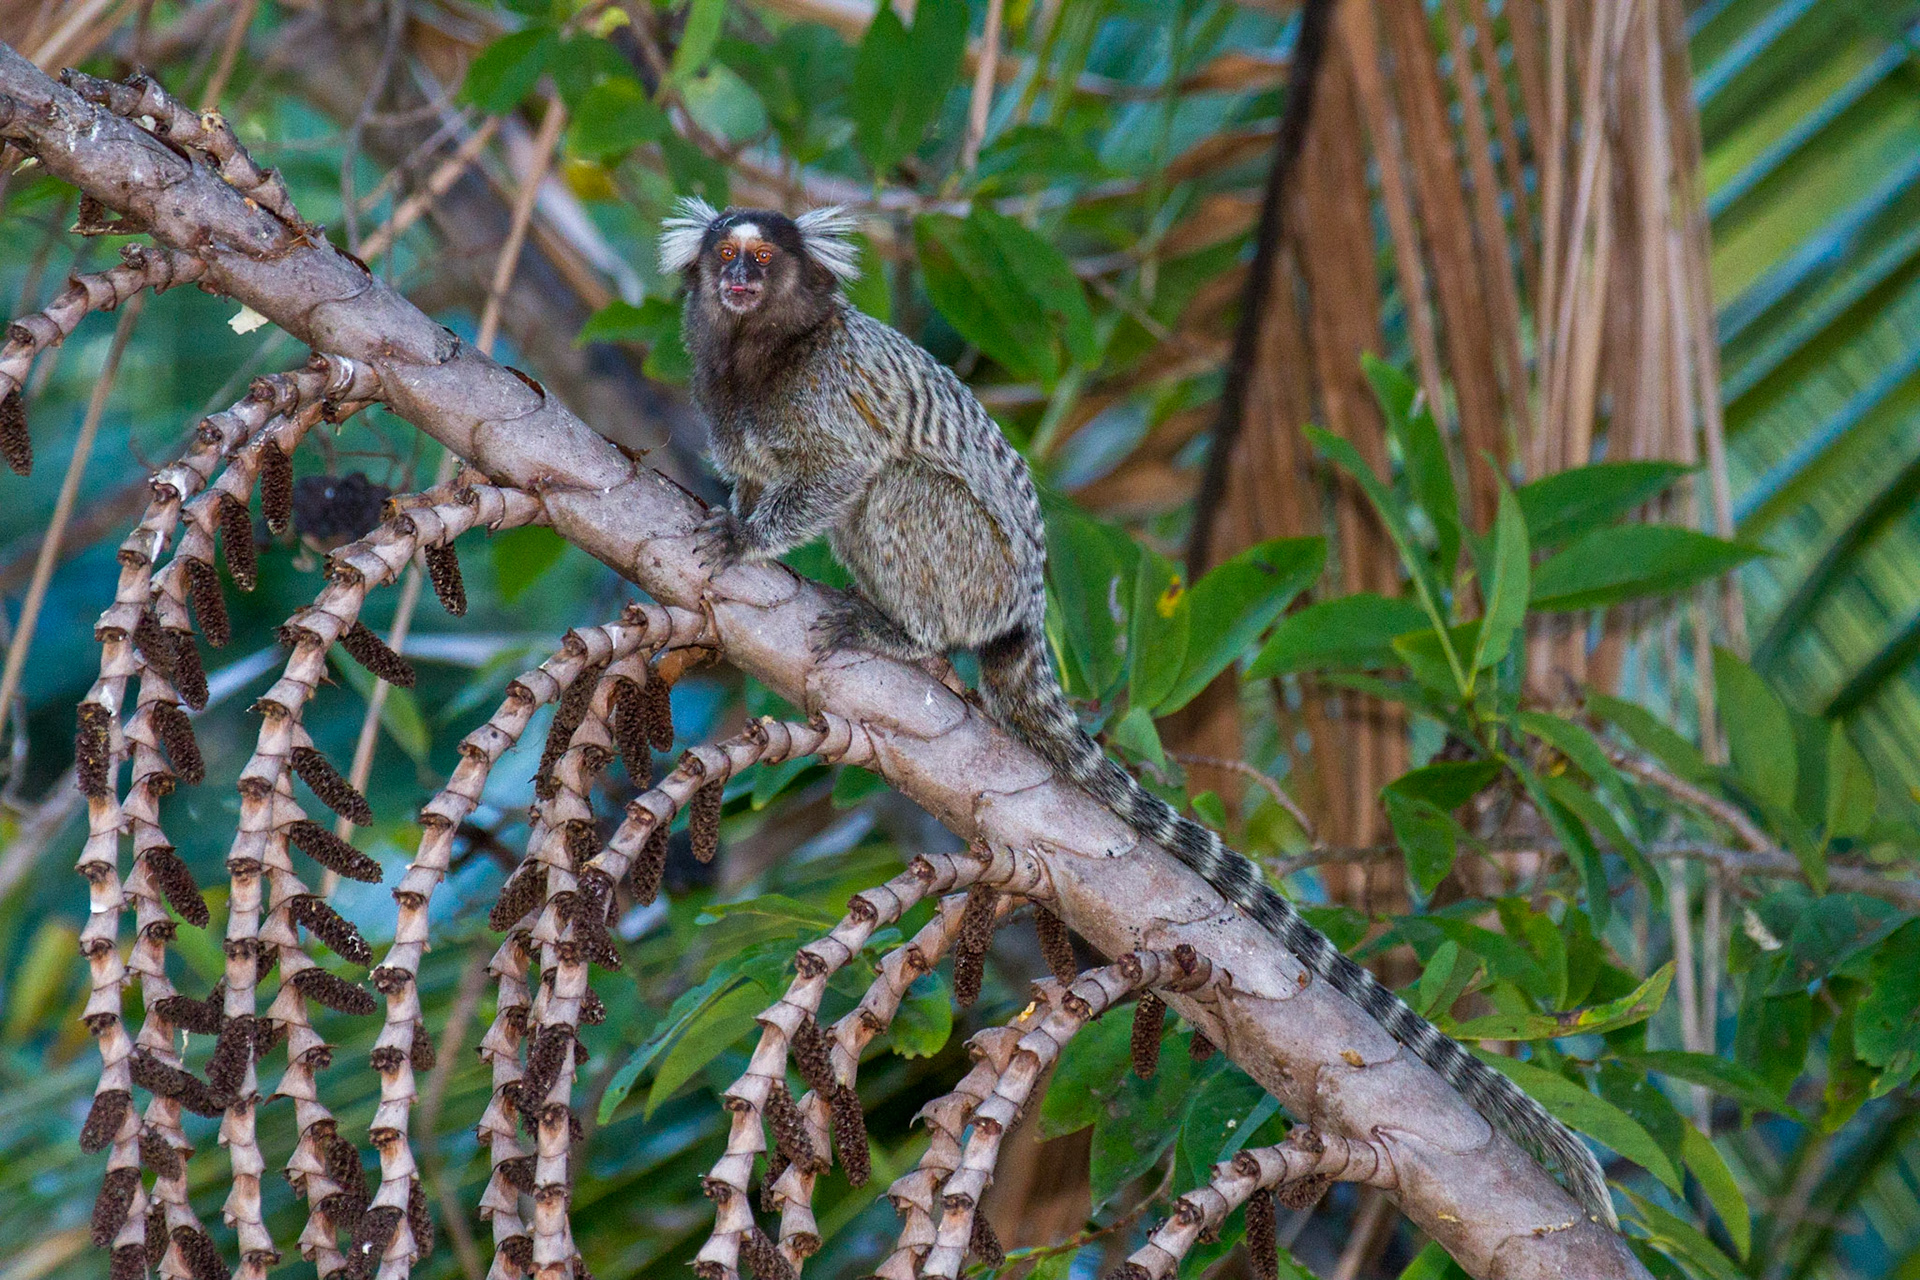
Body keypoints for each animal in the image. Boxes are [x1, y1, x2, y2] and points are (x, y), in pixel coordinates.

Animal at [660, 197, 1615, 1229]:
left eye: (761, 260)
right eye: (727, 257)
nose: (739, 279)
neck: (759, 353)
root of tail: (1025, 608)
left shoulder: (826, 397)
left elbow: (845, 470)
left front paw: (748, 538)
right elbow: (765, 476)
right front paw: (740, 511)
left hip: (974, 563)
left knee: (899, 489)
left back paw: (907, 635)